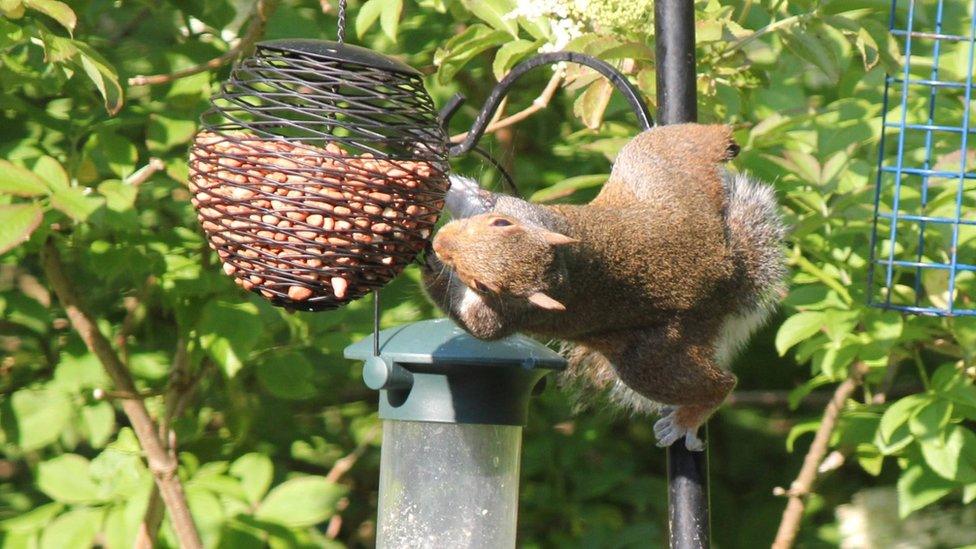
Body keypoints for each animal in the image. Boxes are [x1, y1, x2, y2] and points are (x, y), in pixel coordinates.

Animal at [420, 124, 784, 450]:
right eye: (500, 223)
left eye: (483, 284)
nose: (441, 241)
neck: (560, 270)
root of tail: (724, 271)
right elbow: (479, 201)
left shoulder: (507, 313)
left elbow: (477, 325)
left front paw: (429, 263)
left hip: (649, 358)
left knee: (721, 384)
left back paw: (688, 418)